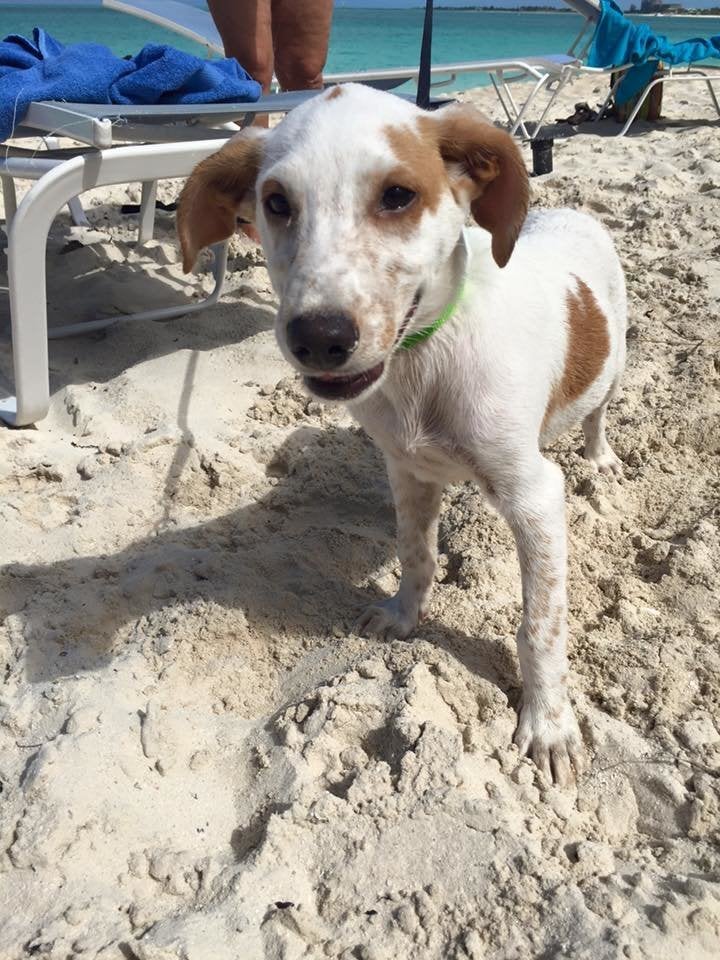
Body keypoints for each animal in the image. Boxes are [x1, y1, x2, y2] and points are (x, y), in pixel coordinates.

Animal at [179, 84, 624, 788]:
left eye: (397, 196)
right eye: (276, 203)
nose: (320, 338)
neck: (423, 361)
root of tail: (572, 212)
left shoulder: (535, 497)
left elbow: (542, 628)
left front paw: (549, 725)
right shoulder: (407, 469)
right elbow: (416, 554)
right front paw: (402, 616)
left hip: (614, 365)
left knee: (597, 411)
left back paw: (599, 457)